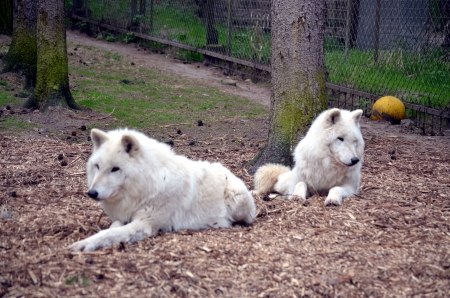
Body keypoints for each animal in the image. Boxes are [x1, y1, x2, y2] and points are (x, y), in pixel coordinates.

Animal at [67, 128, 256, 251]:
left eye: (115, 169)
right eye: (97, 166)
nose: (91, 193)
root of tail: (229, 171)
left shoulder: (144, 224)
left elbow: (109, 233)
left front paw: (82, 244)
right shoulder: (123, 216)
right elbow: (112, 228)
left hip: (237, 201)